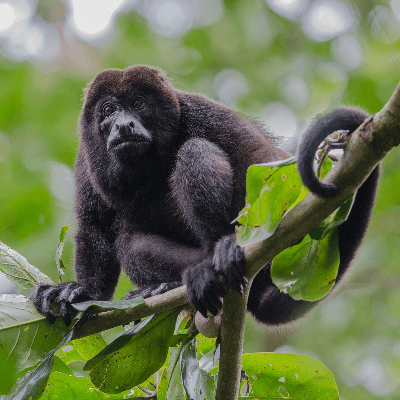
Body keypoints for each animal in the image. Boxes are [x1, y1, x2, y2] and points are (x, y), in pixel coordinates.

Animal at [29, 65, 380, 326]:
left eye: (138, 104)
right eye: (110, 110)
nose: (124, 124)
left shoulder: (200, 110)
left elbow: (259, 157)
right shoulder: (86, 158)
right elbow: (94, 227)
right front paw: (79, 292)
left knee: (195, 151)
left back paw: (220, 252)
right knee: (129, 243)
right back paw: (172, 283)